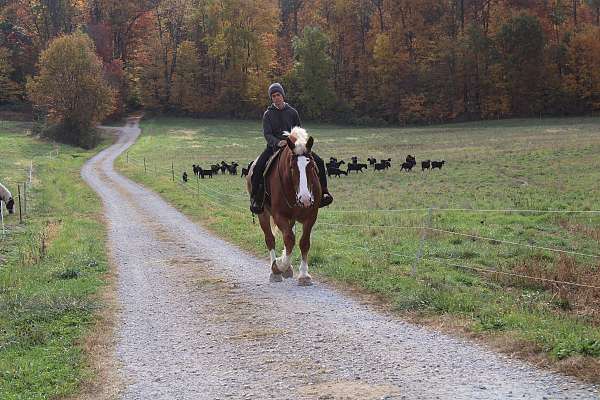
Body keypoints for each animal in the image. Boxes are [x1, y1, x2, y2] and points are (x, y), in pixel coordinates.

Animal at [246, 126, 322, 286]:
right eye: (292, 167)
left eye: (312, 166)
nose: (305, 199)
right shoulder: (279, 215)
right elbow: (289, 239)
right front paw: (279, 266)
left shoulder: (311, 216)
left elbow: (303, 242)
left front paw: (304, 275)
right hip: (263, 214)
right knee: (270, 239)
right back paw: (275, 271)